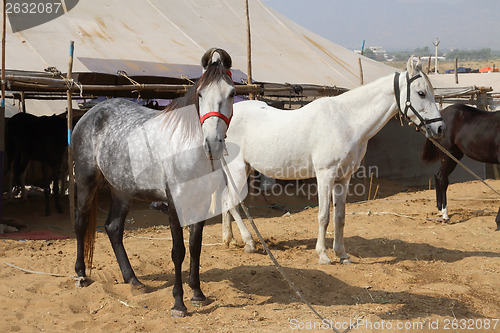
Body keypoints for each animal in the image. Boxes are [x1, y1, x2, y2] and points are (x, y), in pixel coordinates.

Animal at [223, 57, 446, 264]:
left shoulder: (343, 178)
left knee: (226, 201)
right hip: (238, 169)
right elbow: (324, 216)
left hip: (241, 169)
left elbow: (340, 217)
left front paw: (342, 254)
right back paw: (249, 242)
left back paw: (230, 239)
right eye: (421, 93)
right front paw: (323, 255)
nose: (440, 128)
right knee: (233, 203)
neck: (346, 121)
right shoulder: (325, 175)